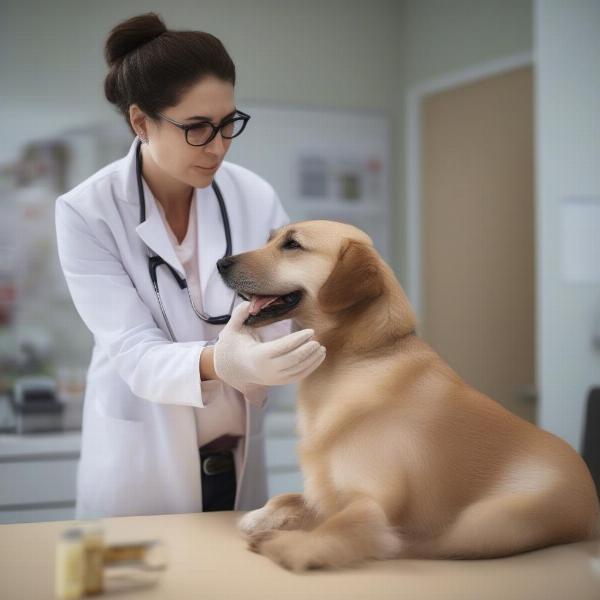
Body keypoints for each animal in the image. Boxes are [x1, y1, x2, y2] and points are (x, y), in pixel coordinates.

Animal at [219, 220, 600, 572]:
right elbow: (288, 497)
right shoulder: (327, 492)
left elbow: (335, 529)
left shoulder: (371, 501)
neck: (356, 357)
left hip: (490, 521)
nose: (222, 262)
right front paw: (260, 515)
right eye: (271, 239)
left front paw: (284, 542)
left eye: (292, 245)